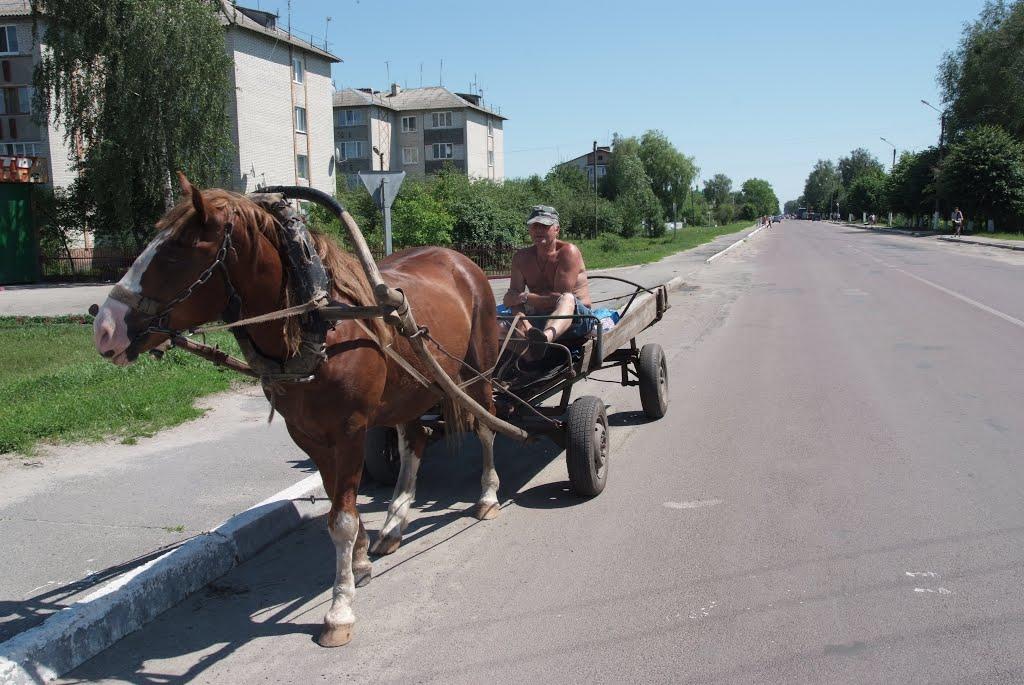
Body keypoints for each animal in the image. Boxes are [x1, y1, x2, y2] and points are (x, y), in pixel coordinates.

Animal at [94, 176, 501, 647]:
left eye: (177, 251)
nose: (104, 327)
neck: (318, 321)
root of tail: (459, 260)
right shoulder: (308, 435)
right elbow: (338, 505)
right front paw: (360, 563)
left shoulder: (349, 431)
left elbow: (341, 518)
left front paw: (339, 609)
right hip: (410, 388)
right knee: (415, 440)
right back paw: (395, 525)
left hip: (477, 368)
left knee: (487, 425)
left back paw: (487, 497)